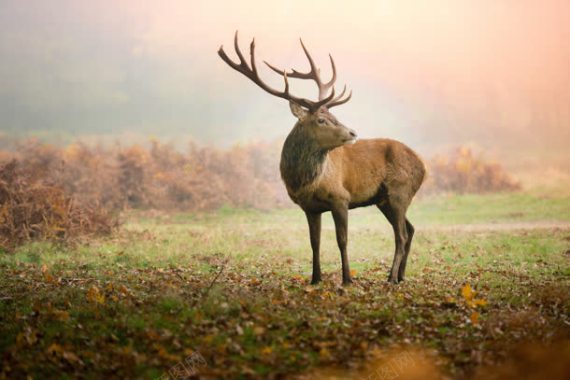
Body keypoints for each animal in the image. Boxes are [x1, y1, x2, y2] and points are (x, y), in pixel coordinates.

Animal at [217, 31, 422, 284]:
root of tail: (424, 166)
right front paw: (315, 279)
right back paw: (400, 275)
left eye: (334, 115)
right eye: (321, 119)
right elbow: (314, 242)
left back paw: (392, 277)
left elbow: (342, 240)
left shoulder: (341, 198)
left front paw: (347, 279)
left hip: (399, 191)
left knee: (401, 234)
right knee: (410, 229)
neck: (304, 182)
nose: (353, 133)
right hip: (383, 199)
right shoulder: (310, 208)